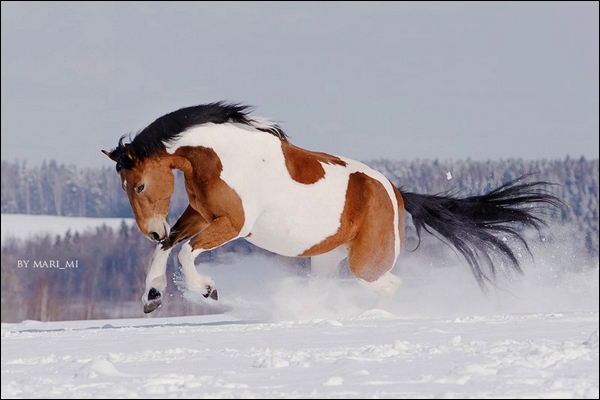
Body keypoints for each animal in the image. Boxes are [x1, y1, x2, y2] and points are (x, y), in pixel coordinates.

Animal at [103, 101, 564, 314]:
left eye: (139, 183)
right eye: (124, 186)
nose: (152, 227)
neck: (223, 156)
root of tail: (396, 193)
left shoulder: (234, 222)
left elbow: (184, 251)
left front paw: (207, 291)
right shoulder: (199, 215)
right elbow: (168, 247)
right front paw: (152, 296)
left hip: (366, 263)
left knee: (389, 285)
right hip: (326, 259)